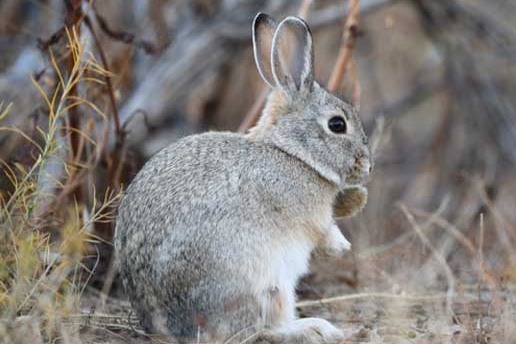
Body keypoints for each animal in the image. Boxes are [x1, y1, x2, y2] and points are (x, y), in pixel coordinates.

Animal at [114, 12, 370, 344]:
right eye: (337, 124)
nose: (367, 165)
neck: (290, 152)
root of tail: (166, 326)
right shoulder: (308, 213)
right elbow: (323, 230)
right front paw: (342, 247)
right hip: (264, 284)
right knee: (259, 330)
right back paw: (315, 328)